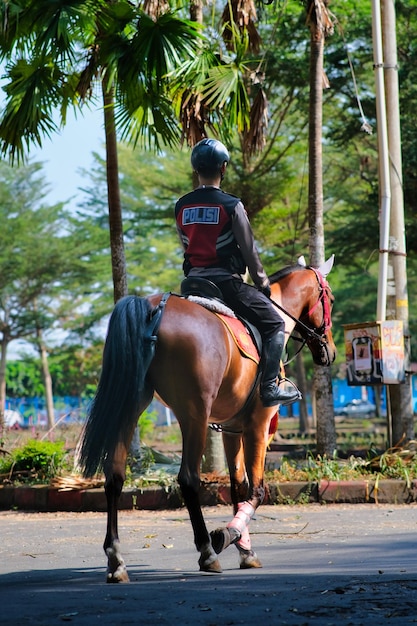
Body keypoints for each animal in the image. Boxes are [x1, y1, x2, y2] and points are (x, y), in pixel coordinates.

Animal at [78, 254, 336, 580]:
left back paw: (116, 559)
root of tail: (155, 307)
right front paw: (228, 536)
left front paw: (245, 548)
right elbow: (257, 490)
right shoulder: (258, 424)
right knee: (188, 479)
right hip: (195, 414)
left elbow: (238, 488)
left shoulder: (231, 429)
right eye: (330, 299)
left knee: (114, 476)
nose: (330, 351)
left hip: (132, 405)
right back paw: (206, 552)